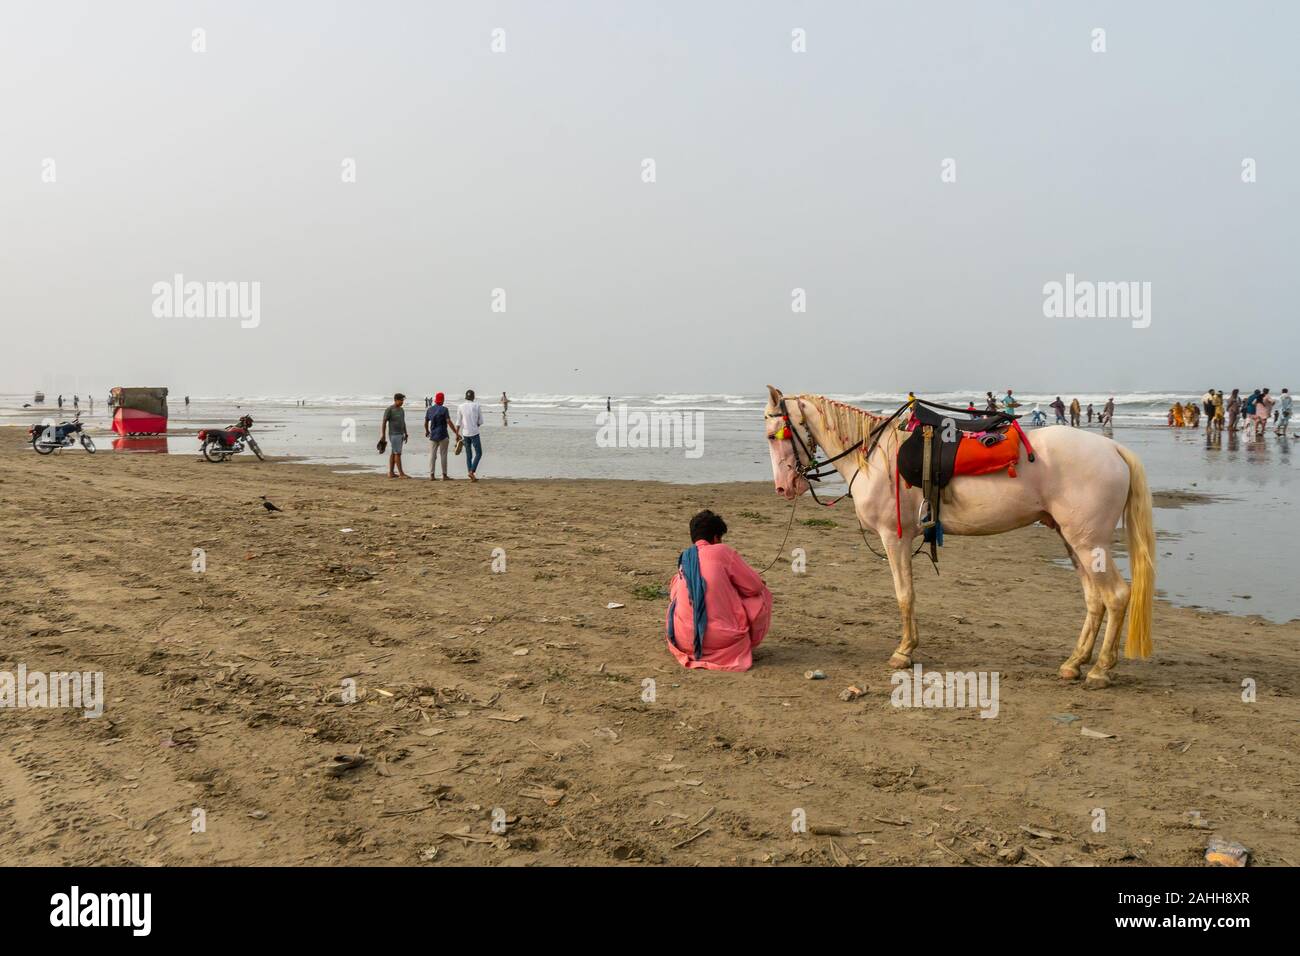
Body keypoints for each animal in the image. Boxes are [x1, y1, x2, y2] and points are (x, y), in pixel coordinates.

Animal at [763, 386, 1156, 688]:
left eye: (772, 434)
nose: (784, 487)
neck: (875, 454)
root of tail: (1112, 450)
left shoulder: (895, 538)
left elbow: (904, 595)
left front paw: (904, 651)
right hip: (1075, 541)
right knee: (1095, 600)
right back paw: (1075, 663)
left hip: (1090, 544)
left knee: (1116, 596)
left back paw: (1101, 670)